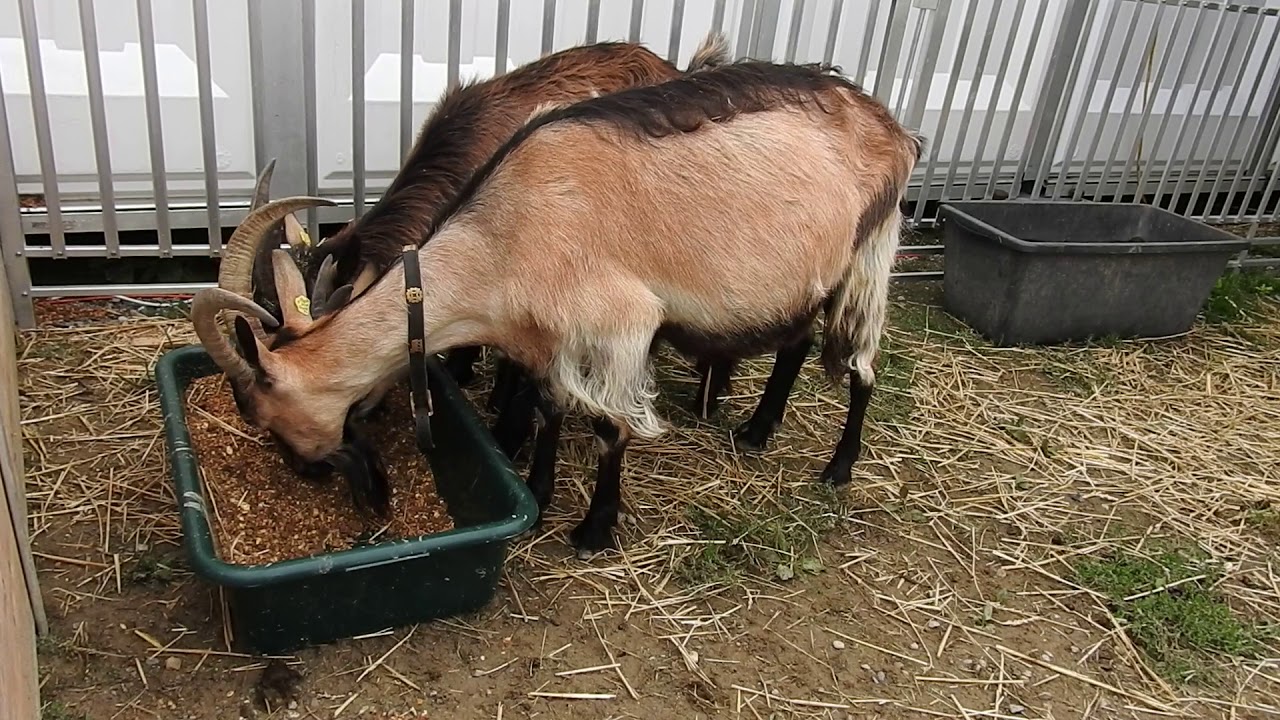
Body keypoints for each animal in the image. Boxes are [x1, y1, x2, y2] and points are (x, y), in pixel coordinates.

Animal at [190, 59, 922, 556]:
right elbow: (549, 407)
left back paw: (838, 467)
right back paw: (758, 429)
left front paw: (594, 528)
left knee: (864, 366)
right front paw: (538, 495)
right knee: (799, 340)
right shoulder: (545, 337)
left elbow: (607, 426)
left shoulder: (621, 326)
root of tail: (893, 126)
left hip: (871, 248)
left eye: (271, 419)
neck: (506, 233)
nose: (311, 473)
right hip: (810, 274)